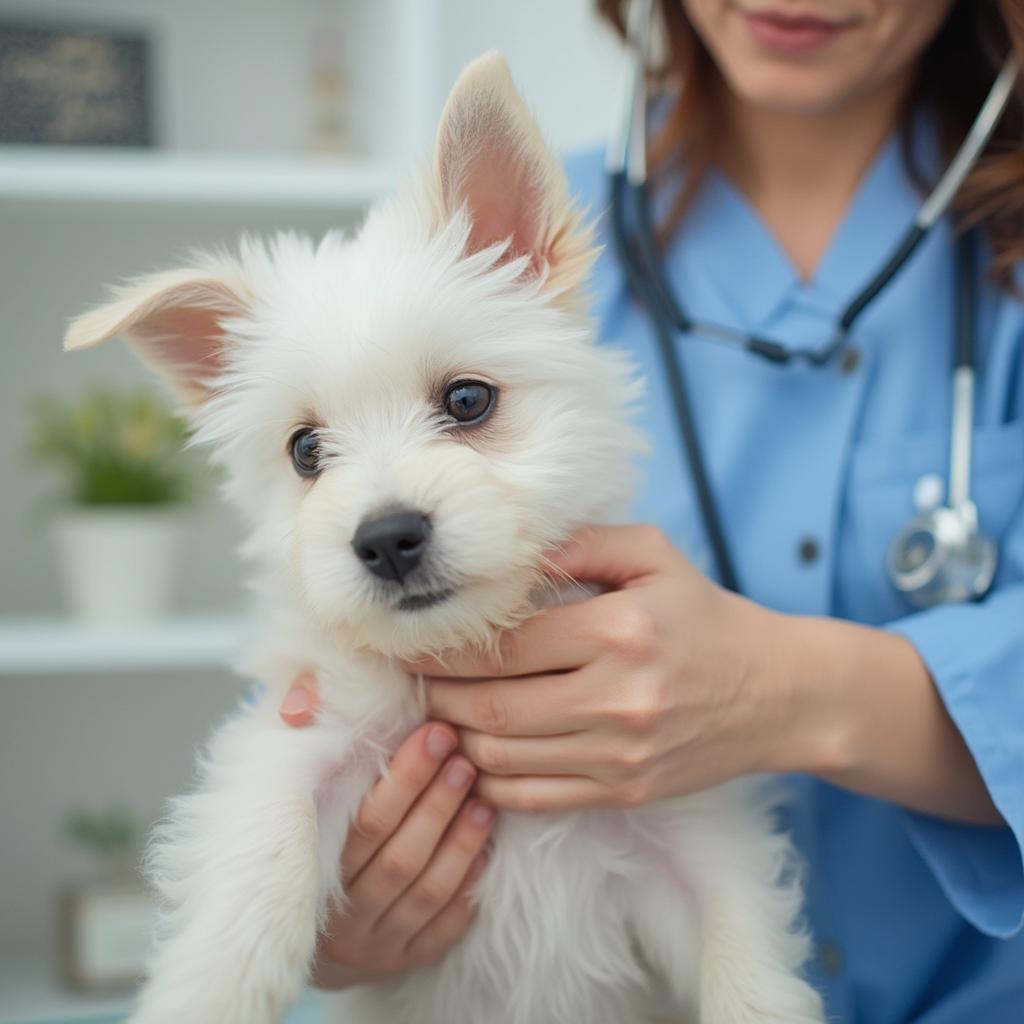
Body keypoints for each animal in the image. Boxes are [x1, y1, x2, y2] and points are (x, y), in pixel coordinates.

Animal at [66, 54, 823, 1024]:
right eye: (305, 450)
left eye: (468, 400)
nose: (388, 539)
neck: (465, 648)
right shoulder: (304, 737)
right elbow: (263, 856)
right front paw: (206, 992)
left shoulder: (689, 832)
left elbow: (746, 959)